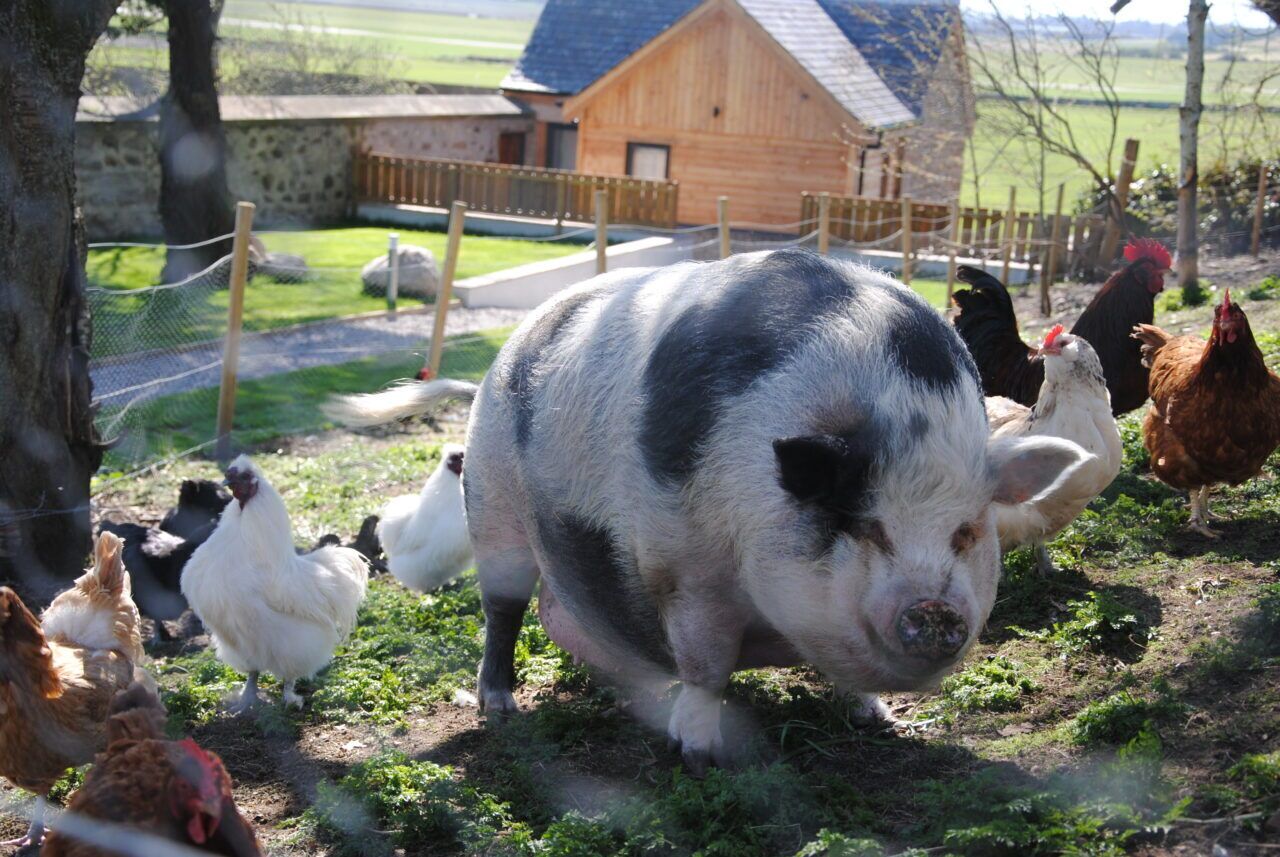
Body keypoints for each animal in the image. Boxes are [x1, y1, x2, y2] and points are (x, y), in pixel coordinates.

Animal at [327, 249, 1085, 771]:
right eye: (864, 526)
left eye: (966, 531)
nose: (933, 609)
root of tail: (501, 360)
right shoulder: (685, 571)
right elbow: (705, 665)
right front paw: (698, 754)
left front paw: (881, 720)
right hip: (494, 509)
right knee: (504, 612)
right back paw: (502, 708)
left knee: (562, 613)